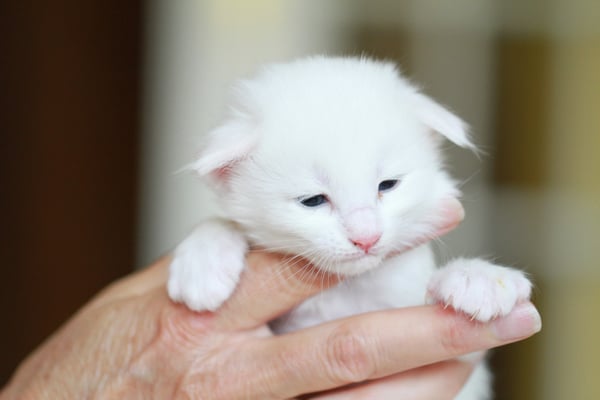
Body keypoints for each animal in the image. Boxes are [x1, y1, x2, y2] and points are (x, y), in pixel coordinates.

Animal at [167, 56, 532, 399]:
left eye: (388, 185)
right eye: (313, 200)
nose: (366, 238)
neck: (348, 290)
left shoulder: (459, 371)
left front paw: (478, 277)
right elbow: (221, 220)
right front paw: (203, 260)